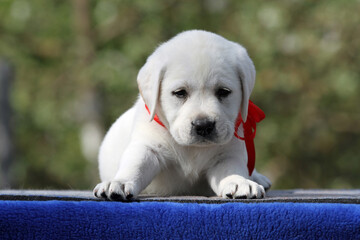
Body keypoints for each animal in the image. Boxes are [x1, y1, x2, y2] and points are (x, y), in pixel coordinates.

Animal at [93, 31, 270, 202]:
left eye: (223, 92)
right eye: (180, 93)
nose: (203, 125)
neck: (192, 149)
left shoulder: (226, 155)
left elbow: (231, 170)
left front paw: (240, 182)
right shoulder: (148, 147)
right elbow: (135, 166)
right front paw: (119, 182)